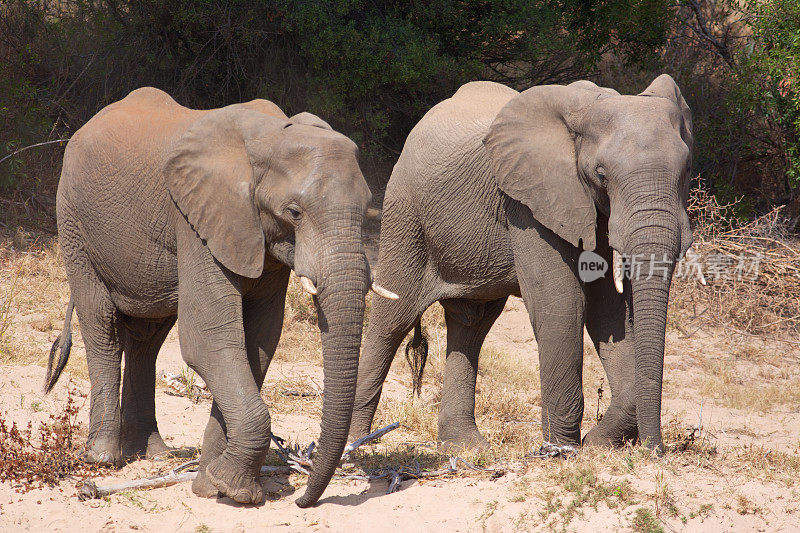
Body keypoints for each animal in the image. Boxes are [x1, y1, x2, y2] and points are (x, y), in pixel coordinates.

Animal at [43, 88, 382, 508]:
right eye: (294, 212)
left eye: (367, 208)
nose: (304, 500)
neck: (269, 137)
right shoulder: (197, 220)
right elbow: (209, 340)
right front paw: (236, 491)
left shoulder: (259, 238)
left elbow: (256, 343)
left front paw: (212, 485)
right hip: (73, 222)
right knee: (101, 324)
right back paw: (104, 457)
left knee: (148, 337)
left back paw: (154, 454)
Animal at [350, 75, 692, 450]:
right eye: (602, 175)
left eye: (686, 171)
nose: (655, 450)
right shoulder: (529, 201)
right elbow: (562, 300)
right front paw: (563, 449)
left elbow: (607, 309)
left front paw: (595, 444)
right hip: (405, 211)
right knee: (393, 318)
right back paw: (356, 441)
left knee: (471, 323)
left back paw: (464, 446)